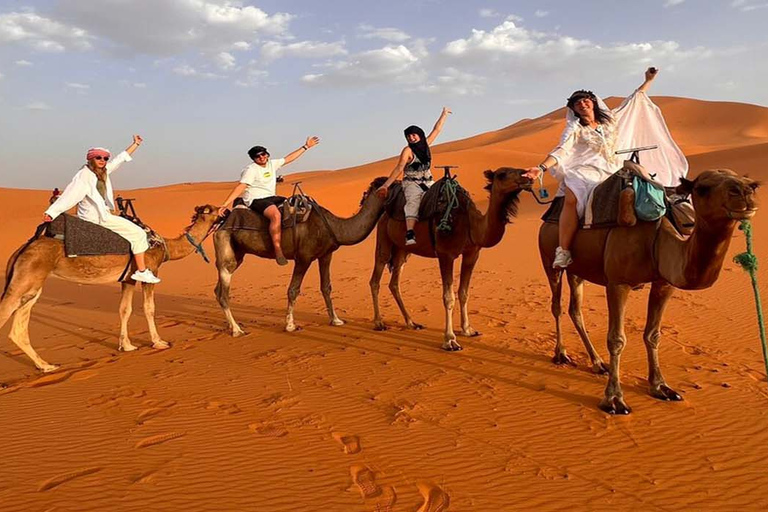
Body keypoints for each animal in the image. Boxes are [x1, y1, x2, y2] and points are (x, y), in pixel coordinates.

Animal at [0, 204, 222, 372]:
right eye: (215, 209)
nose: (226, 211)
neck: (166, 247)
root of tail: (21, 249)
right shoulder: (150, 271)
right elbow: (149, 309)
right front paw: (159, 342)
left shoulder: (129, 278)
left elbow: (125, 309)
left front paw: (127, 345)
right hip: (26, 277)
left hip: (32, 285)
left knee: (19, 326)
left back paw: (46, 365)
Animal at [216, 178, 396, 334]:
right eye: (394, 184)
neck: (334, 226)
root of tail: (222, 223)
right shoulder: (303, 257)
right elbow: (293, 289)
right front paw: (290, 325)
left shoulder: (326, 255)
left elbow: (326, 287)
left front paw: (336, 320)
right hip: (226, 249)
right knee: (224, 292)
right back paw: (237, 330)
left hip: (238, 254)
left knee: (218, 291)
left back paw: (232, 326)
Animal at [368, 168, 532, 352]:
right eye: (502, 174)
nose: (527, 176)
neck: (471, 224)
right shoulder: (445, 254)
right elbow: (448, 297)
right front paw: (450, 340)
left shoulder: (472, 254)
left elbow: (464, 293)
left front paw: (468, 330)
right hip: (383, 237)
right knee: (375, 278)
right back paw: (379, 323)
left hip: (403, 250)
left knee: (394, 283)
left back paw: (412, 323)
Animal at [540, 170, 760, 414]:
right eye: (702, 188)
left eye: (752, 184)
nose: (744, 192)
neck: (658, 240)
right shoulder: (618, 282)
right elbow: (616, 339)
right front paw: (614, 400)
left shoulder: (663, 283)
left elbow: (653, 335)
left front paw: (661, 387)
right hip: (549, 260)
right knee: (557, 305)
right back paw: (561, 354)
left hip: (578, 270)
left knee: (575, 309)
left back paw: (598, 363)